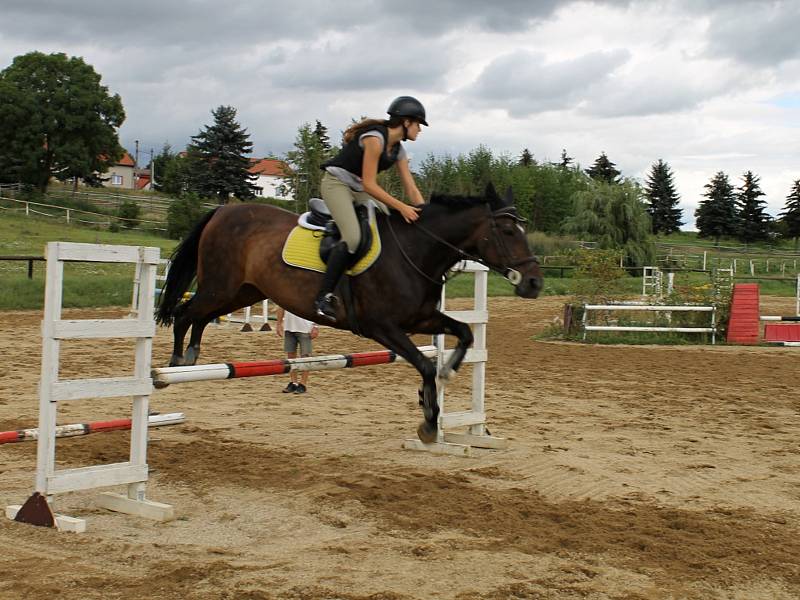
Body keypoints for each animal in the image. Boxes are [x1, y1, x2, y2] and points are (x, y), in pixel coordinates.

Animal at [155, 182, 544, 440]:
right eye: (508, 231)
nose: (534, 283)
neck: (416, 250)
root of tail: (224, 210)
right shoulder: (382, 327)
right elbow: (422, 363)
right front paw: (429, 419)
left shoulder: (420, 318)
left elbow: (463, 333)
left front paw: (445, 374)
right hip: (221, 286)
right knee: (185, 313)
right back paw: (175, 364)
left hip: (242, 291)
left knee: (200, 316)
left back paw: (191, 356)